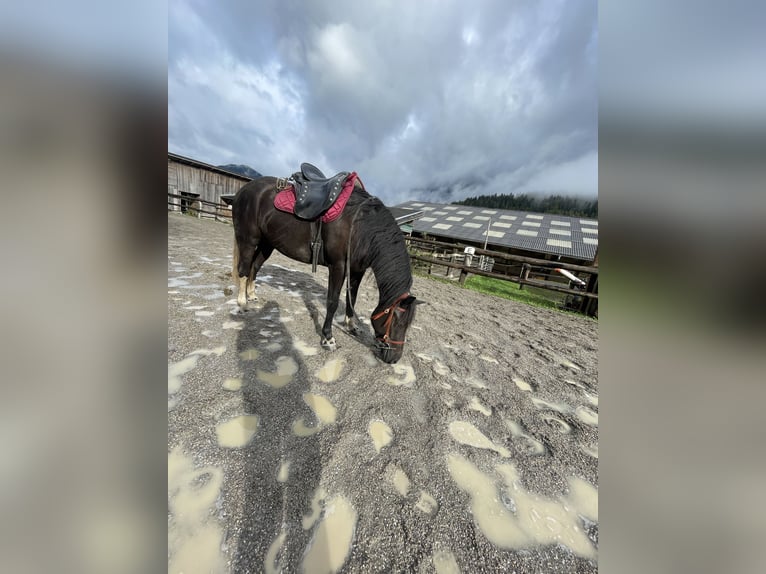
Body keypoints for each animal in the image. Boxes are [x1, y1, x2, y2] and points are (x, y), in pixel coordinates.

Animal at [232, 176, 420, 364]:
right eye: (396, 321)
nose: (394, 359)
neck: (359, 226)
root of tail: (244, 190)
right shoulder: (338, 266)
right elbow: (332, 301)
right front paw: (328, 338)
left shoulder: (357, 271)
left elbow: (352, 299)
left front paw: (351, 326)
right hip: (248, 240)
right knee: (243, 269)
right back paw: (243, 303)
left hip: (267, 244)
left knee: (254, 266)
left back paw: (252, 295)